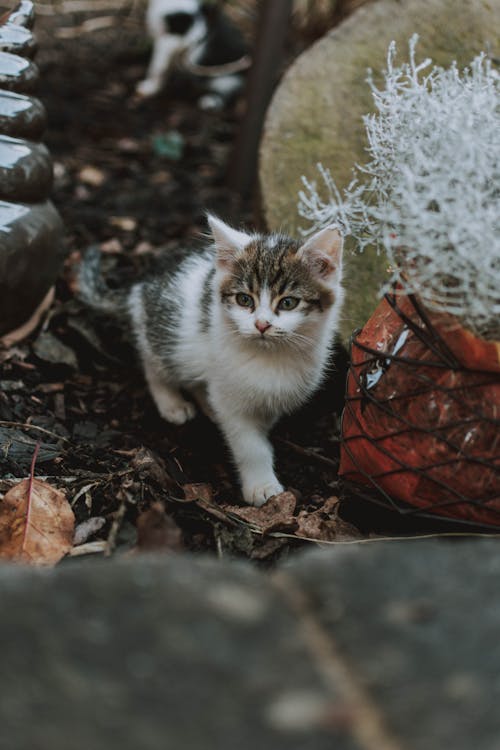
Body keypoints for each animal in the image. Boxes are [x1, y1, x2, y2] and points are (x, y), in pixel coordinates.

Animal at [79, 217, 344, 512]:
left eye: (288, 302)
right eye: (244, 299)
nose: (261, 325)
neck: (272, 357)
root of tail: (141, 286)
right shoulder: (231, 397)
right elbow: (249, 445)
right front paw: (261, 485)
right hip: (167, 338)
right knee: (153, 361)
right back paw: (171, 402)